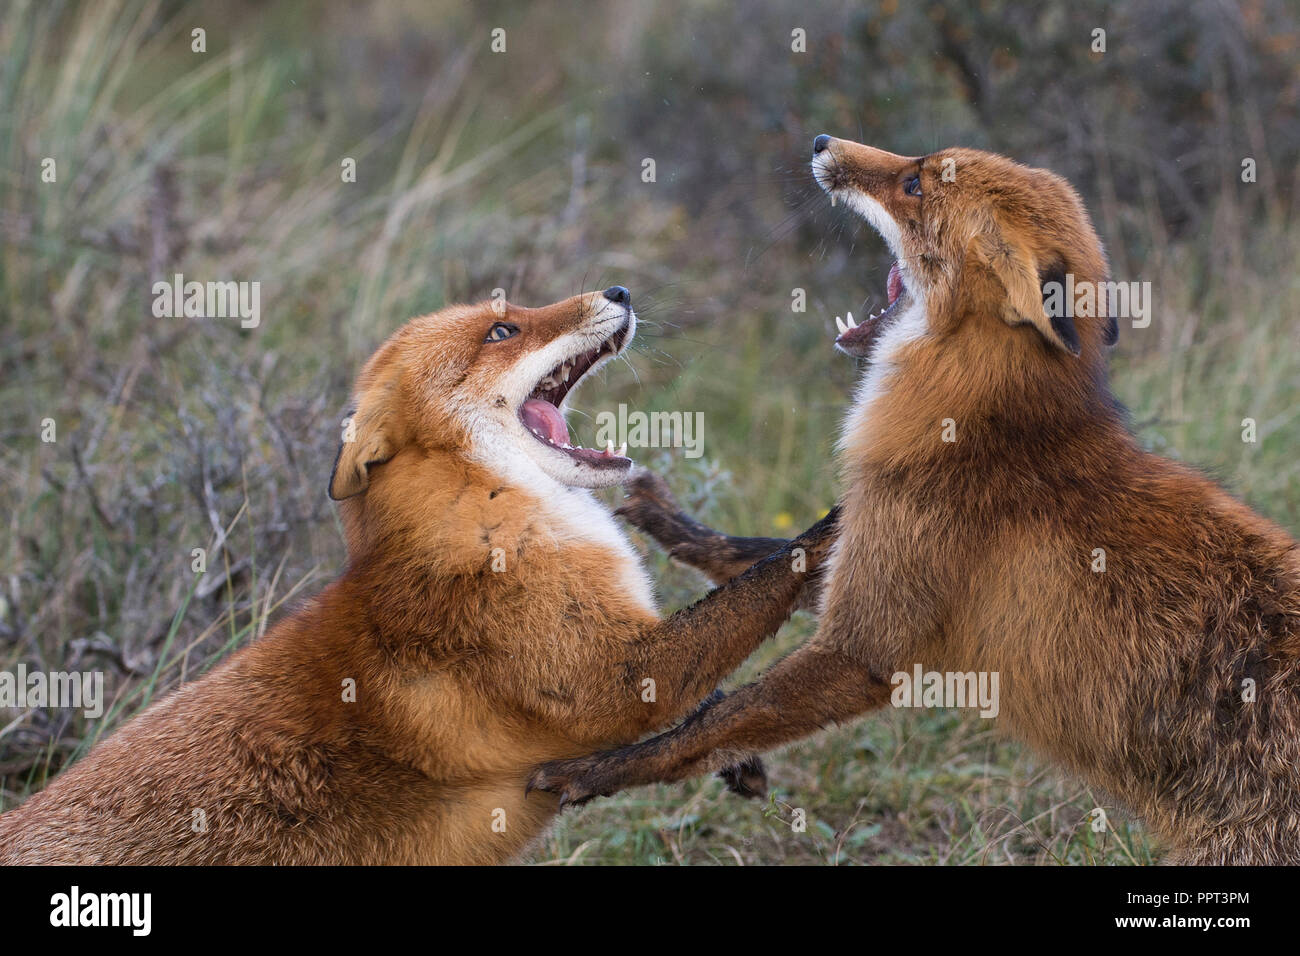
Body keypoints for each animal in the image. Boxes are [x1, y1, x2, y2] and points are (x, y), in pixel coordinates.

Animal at [0, 287, 832, 863]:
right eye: (502, 330)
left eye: (514, 311)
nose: (620, 290)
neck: (484, 513)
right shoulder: (613, 681)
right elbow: (755, 589)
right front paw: (831, 529)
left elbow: (713, 677)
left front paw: (735, 758)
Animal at [533, 136, 1300, 868]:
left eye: (913, 184)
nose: (822, 142)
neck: (992, 419)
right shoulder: (877, 562)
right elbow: (761, 559)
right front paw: (668, 521)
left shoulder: (865, 649)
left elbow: (707, 726)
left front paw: (590, 771)